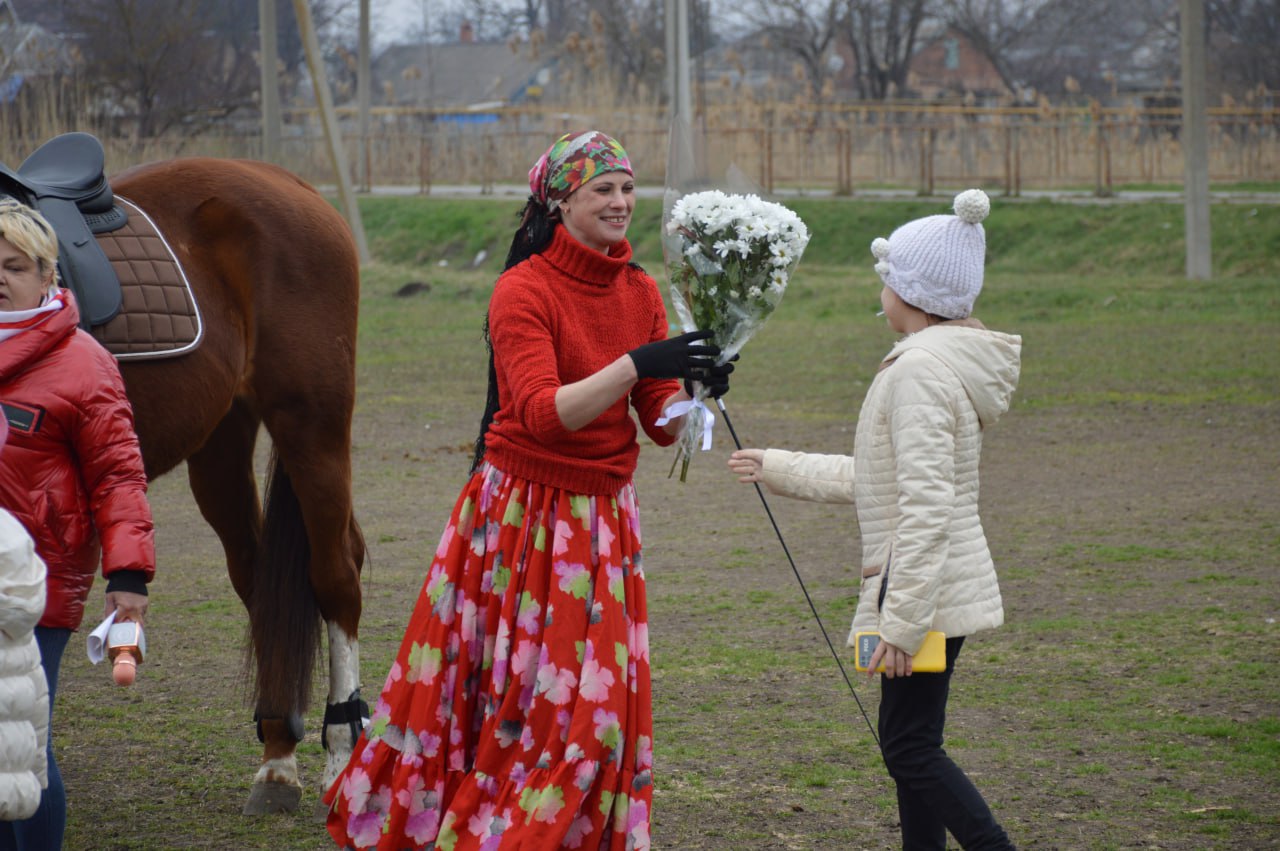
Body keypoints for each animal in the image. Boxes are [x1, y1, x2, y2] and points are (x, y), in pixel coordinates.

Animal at [0, 146, 369, 814]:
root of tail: (286, 180)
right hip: (222, 438)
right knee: (258, 574)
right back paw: (278, 756)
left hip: (313, 424)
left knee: (336, 574)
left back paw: (339, 753)